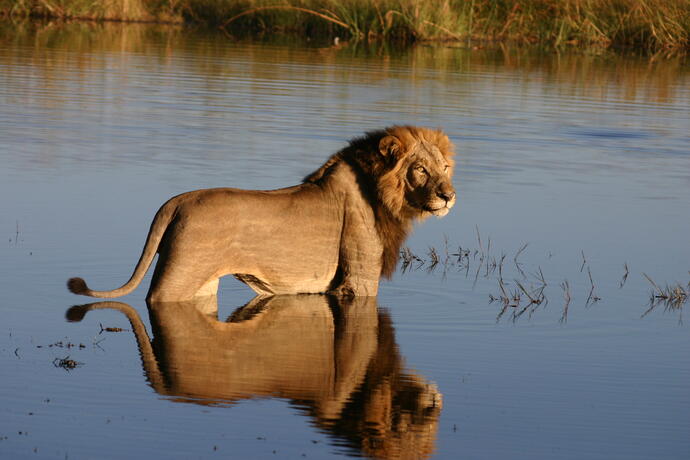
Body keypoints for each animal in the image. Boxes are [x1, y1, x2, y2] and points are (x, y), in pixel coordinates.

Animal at [67, 126, 454, 302]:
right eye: (421, 170)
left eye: (446, 167)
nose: (448, 196)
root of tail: (176, 201)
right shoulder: (358, 281)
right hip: (177, 275)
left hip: (202, 285)